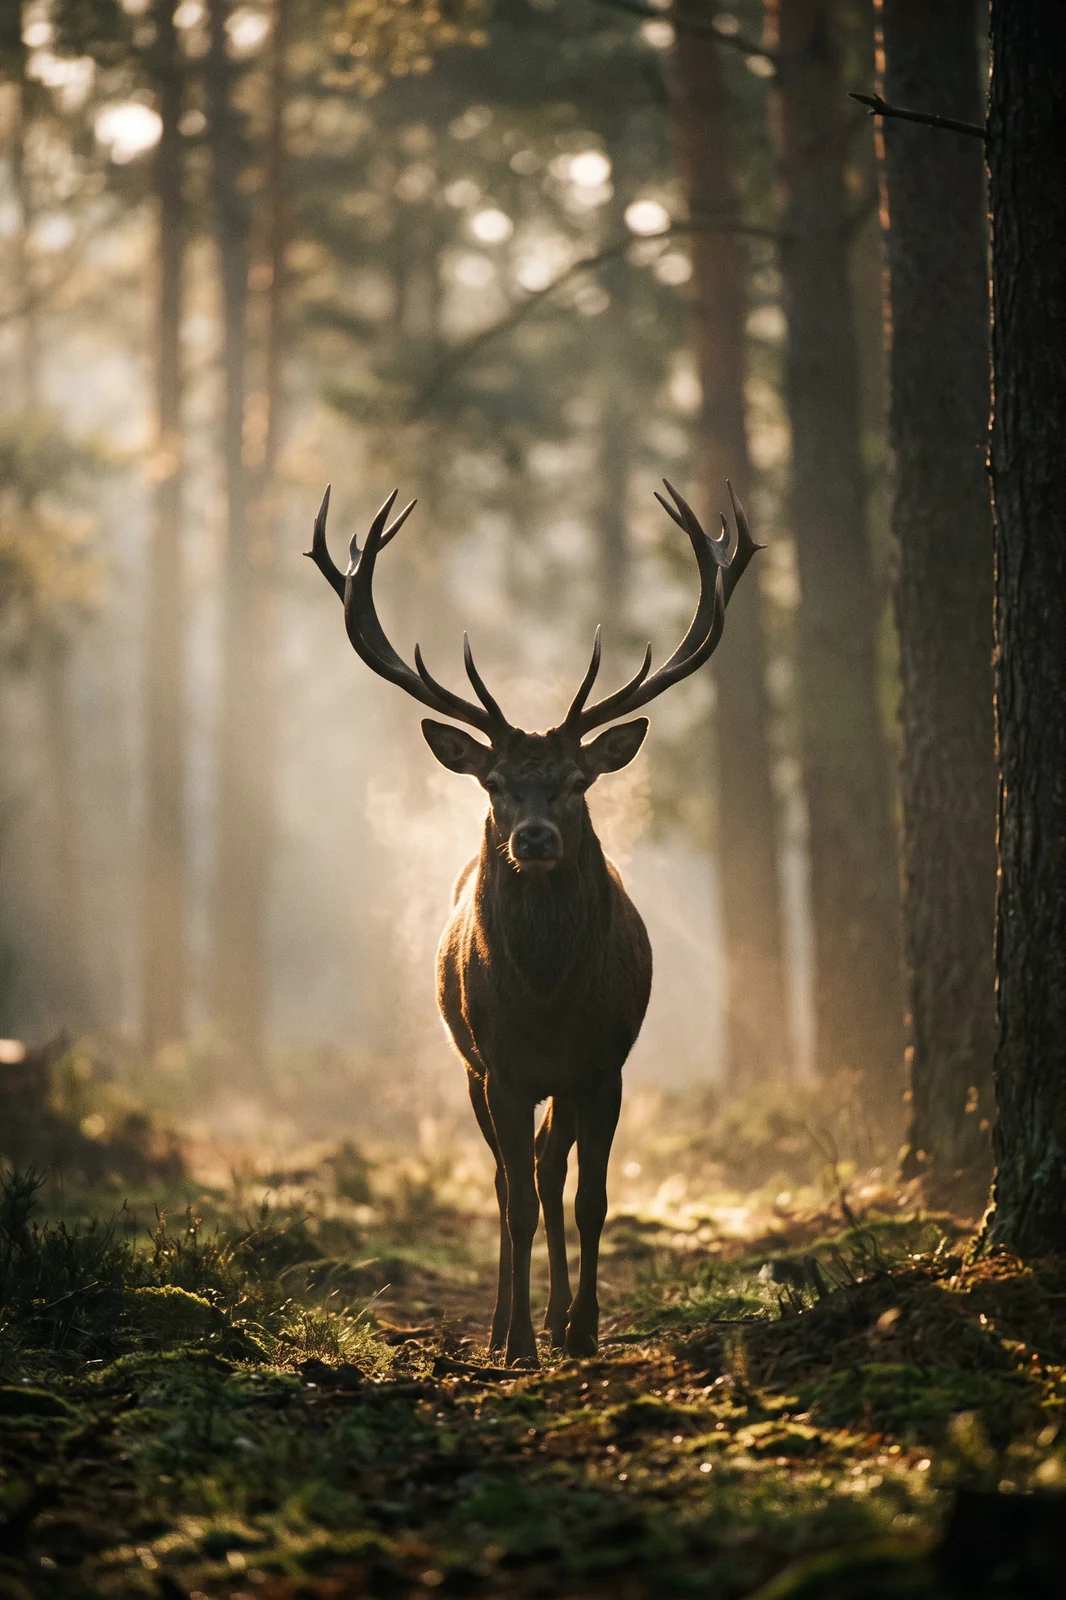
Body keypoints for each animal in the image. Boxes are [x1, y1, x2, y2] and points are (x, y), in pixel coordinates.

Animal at [306, 478, 760, 1366]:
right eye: (494, 783)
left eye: (579, 781)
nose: (536, 838)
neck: (548, 1000)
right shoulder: (503, 1067)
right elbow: (513, 1198)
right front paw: (514, 1342)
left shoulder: (604, 1064)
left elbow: (592, 1198)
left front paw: (580, 1329)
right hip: (470, 1066)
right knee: (509, 1181)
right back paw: (507, 1323)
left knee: (553, 1174)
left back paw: (555, 1316)